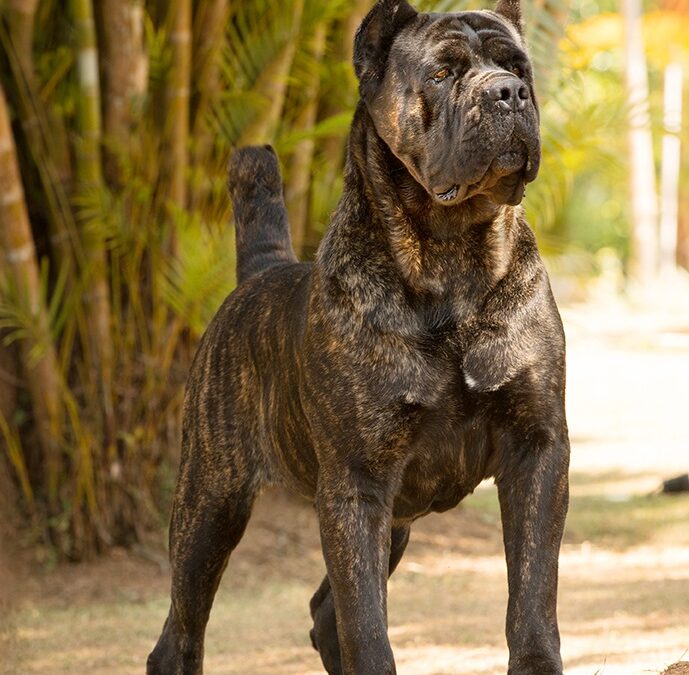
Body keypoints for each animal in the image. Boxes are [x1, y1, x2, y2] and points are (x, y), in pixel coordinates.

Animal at [148, 1, 568, 675]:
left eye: (518, 67)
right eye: (443, 74)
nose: (508, 92)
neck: (454, 259)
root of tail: (261, 270)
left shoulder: (537, 450)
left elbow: (532, 599)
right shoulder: (357, 485)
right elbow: (367, 625)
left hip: (388, 519)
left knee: (324, 613)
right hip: (210, 505)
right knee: (181, 632)